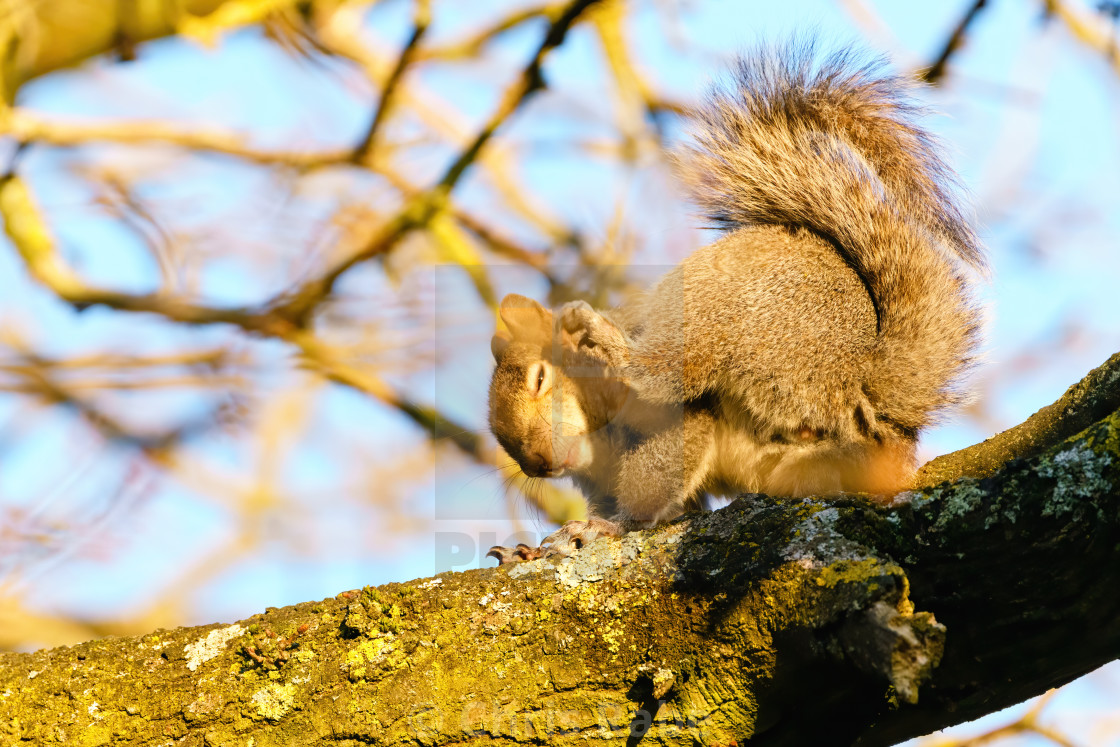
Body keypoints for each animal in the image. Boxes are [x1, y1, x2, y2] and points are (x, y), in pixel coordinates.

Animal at [486, 40, 985, 564]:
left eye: (540, 377)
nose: (537, 464)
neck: (598, 440)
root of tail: (870, 392)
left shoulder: (680, 419)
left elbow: (654, 482)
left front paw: (605, 527)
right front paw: (531, 551)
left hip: (730, 313)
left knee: (666, 369)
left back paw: (607, 339)